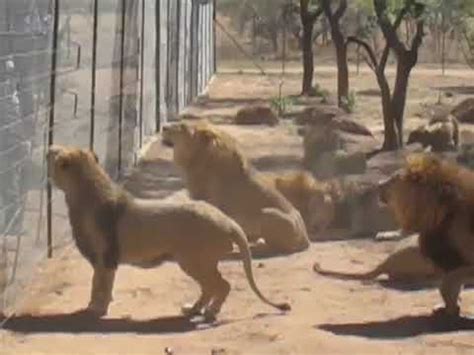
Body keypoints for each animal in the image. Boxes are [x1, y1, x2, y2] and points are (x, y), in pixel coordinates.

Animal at [47, 145, 288, 322]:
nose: (49, 148)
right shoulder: (101, 259)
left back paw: (210, 313)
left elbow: (101, 284)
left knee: (221, 285)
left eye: (56, 154)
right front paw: (93, 305)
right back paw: (193, 310)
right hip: (199, 262)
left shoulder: (106, 257)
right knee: (209, 288)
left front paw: (97, 309)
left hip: (194, 260)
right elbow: (96, 283)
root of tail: (227, 221)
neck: (83, 193)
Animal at [163, 122, 312, 256]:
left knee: (278, 248)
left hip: (267, 214)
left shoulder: (209, 203)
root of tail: (306, 238)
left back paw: (257, 248)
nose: (164, 127)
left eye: (182, 126)